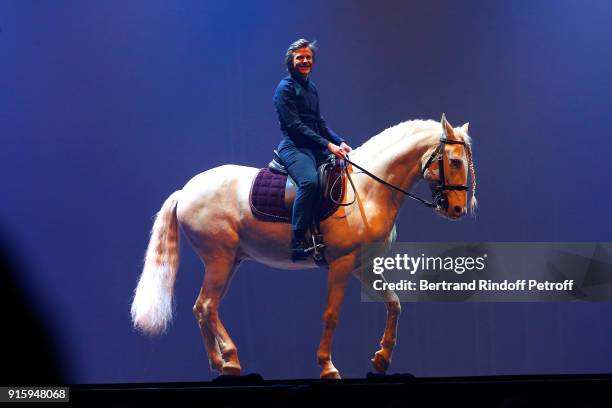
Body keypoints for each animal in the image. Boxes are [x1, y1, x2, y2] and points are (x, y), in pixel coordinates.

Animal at [131, 114, 478, 380]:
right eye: (454, 161)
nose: (457, 210)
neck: (368, 188)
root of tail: (185, 190)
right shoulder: (341, 264)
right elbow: (331, 314)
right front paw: (327, 367)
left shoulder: (363, 266)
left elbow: (394, 304)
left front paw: (382, 358)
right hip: (219, 258)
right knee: (206, 305)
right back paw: (230, 359)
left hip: (230, 262)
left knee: (202, 308)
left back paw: (221, 364)